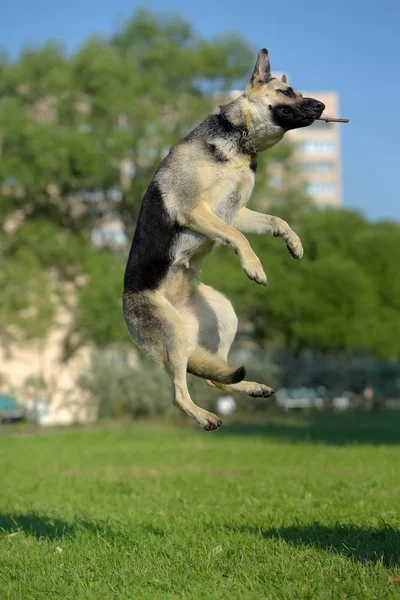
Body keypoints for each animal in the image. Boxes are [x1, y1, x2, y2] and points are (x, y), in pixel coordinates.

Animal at [123, 49, 326, 428]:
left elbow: (276, 220)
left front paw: (293, 242)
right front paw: (254, 267)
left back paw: (252, 387)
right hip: (173, 336)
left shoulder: (236, 211)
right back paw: (203, 417)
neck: (240, 140)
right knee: (179, 393)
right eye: (287, 93)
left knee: (216, 378)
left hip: (226, 317)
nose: (321, 105)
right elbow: (237, 237)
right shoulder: (196, 210)